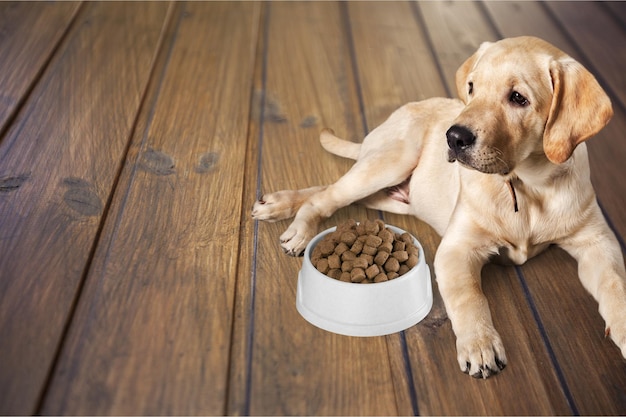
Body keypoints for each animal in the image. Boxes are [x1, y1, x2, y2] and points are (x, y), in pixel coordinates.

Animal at [250, 36, 624, 376]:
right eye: (471, 87)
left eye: (518, 98)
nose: (454, 137)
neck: (526, 186)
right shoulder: (457, 249)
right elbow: (469, 297)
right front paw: (480, 344)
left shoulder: (598, 242)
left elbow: (615, 284)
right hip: (392, 160)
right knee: (327, 195)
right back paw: (297, 226)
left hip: (391, 193)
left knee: (334, 188)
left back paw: (278, 203)